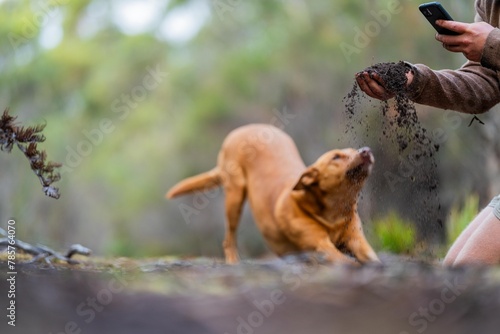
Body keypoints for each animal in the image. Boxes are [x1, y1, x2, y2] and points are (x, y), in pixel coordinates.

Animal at [167, 124, 378, 264]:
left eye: (353, 150)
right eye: (336, 157)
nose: (366, 150)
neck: (334, 212)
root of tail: (244, 128)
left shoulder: (358, 241)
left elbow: (372, 259)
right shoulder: (320, 246)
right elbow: (346, 261)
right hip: (234, 197)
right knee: (229, 239)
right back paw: (233, 261)